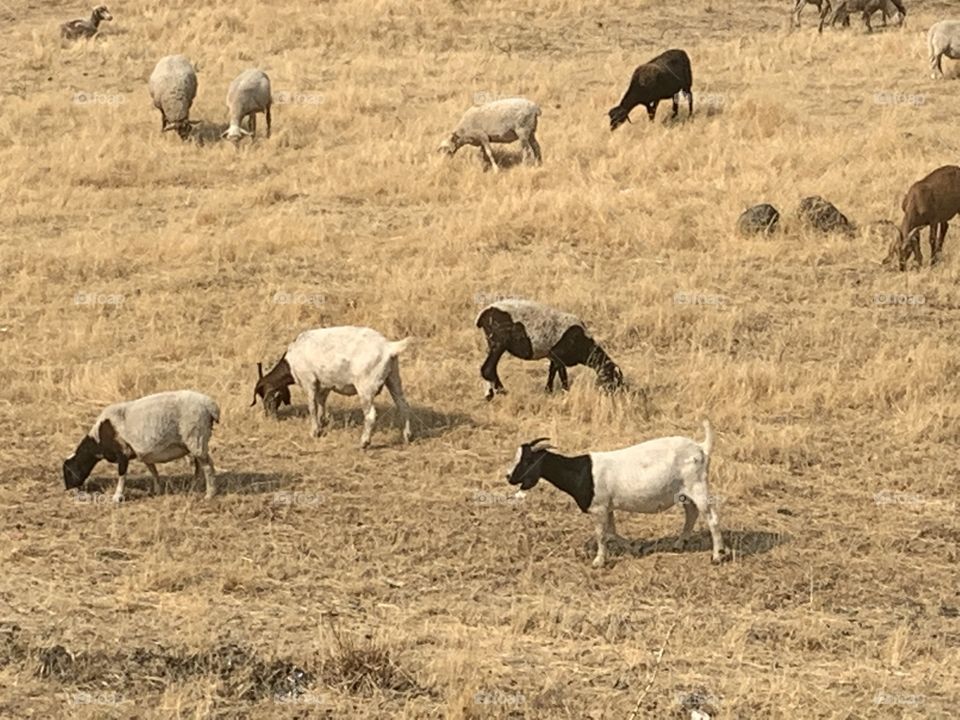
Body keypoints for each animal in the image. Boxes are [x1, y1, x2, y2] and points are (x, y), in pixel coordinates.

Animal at [62, 390, 220, 503]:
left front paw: (117, 497)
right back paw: (194, 487)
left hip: (196, 437)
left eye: (68, 472)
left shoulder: (123, 453)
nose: (68, 490)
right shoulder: (144, 454)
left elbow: (122, 476)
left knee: (208, 467)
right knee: (199, 466)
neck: (98, 441)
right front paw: (157, 491)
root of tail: (211, 406)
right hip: (195, 442)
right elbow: (153, 472)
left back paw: (210, 494)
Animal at [251, 326, 413, 448]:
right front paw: (323, 424)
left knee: (371, 415)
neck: (291, 362)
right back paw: (407, 436)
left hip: (366, 387)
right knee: (403, 405)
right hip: (393, 378)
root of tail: (388, 347)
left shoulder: (309, 381)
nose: (269, 417)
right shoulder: (325, 385)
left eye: (266, 399)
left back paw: (364, 442)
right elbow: (322, 404)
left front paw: (314, 432)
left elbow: (312, 407)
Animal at [475, 298, 623, 401]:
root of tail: (483, 314)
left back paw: (489, 394)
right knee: (487, 368)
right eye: (613, 380)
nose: (615, 397)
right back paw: (502, 391)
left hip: (493, 343)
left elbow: (552, 372)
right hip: (499, 342)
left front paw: (548, 392)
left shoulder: (553, 356)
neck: (585, 346)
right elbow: (563, 376)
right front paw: (564, 393)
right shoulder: (559, 356)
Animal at [504, 421, 728, 567]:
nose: (508, 477)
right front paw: (635, 548)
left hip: (697, 486)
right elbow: (611, 532)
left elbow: (601, 535)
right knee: (691, 514)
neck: (581, 471)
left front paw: (598, 561)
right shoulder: (608, 507)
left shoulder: (599, 508)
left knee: (712, 518)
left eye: (527, 460)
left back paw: (717, 556)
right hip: (684, 493)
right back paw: (680, 544)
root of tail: (701, 448)